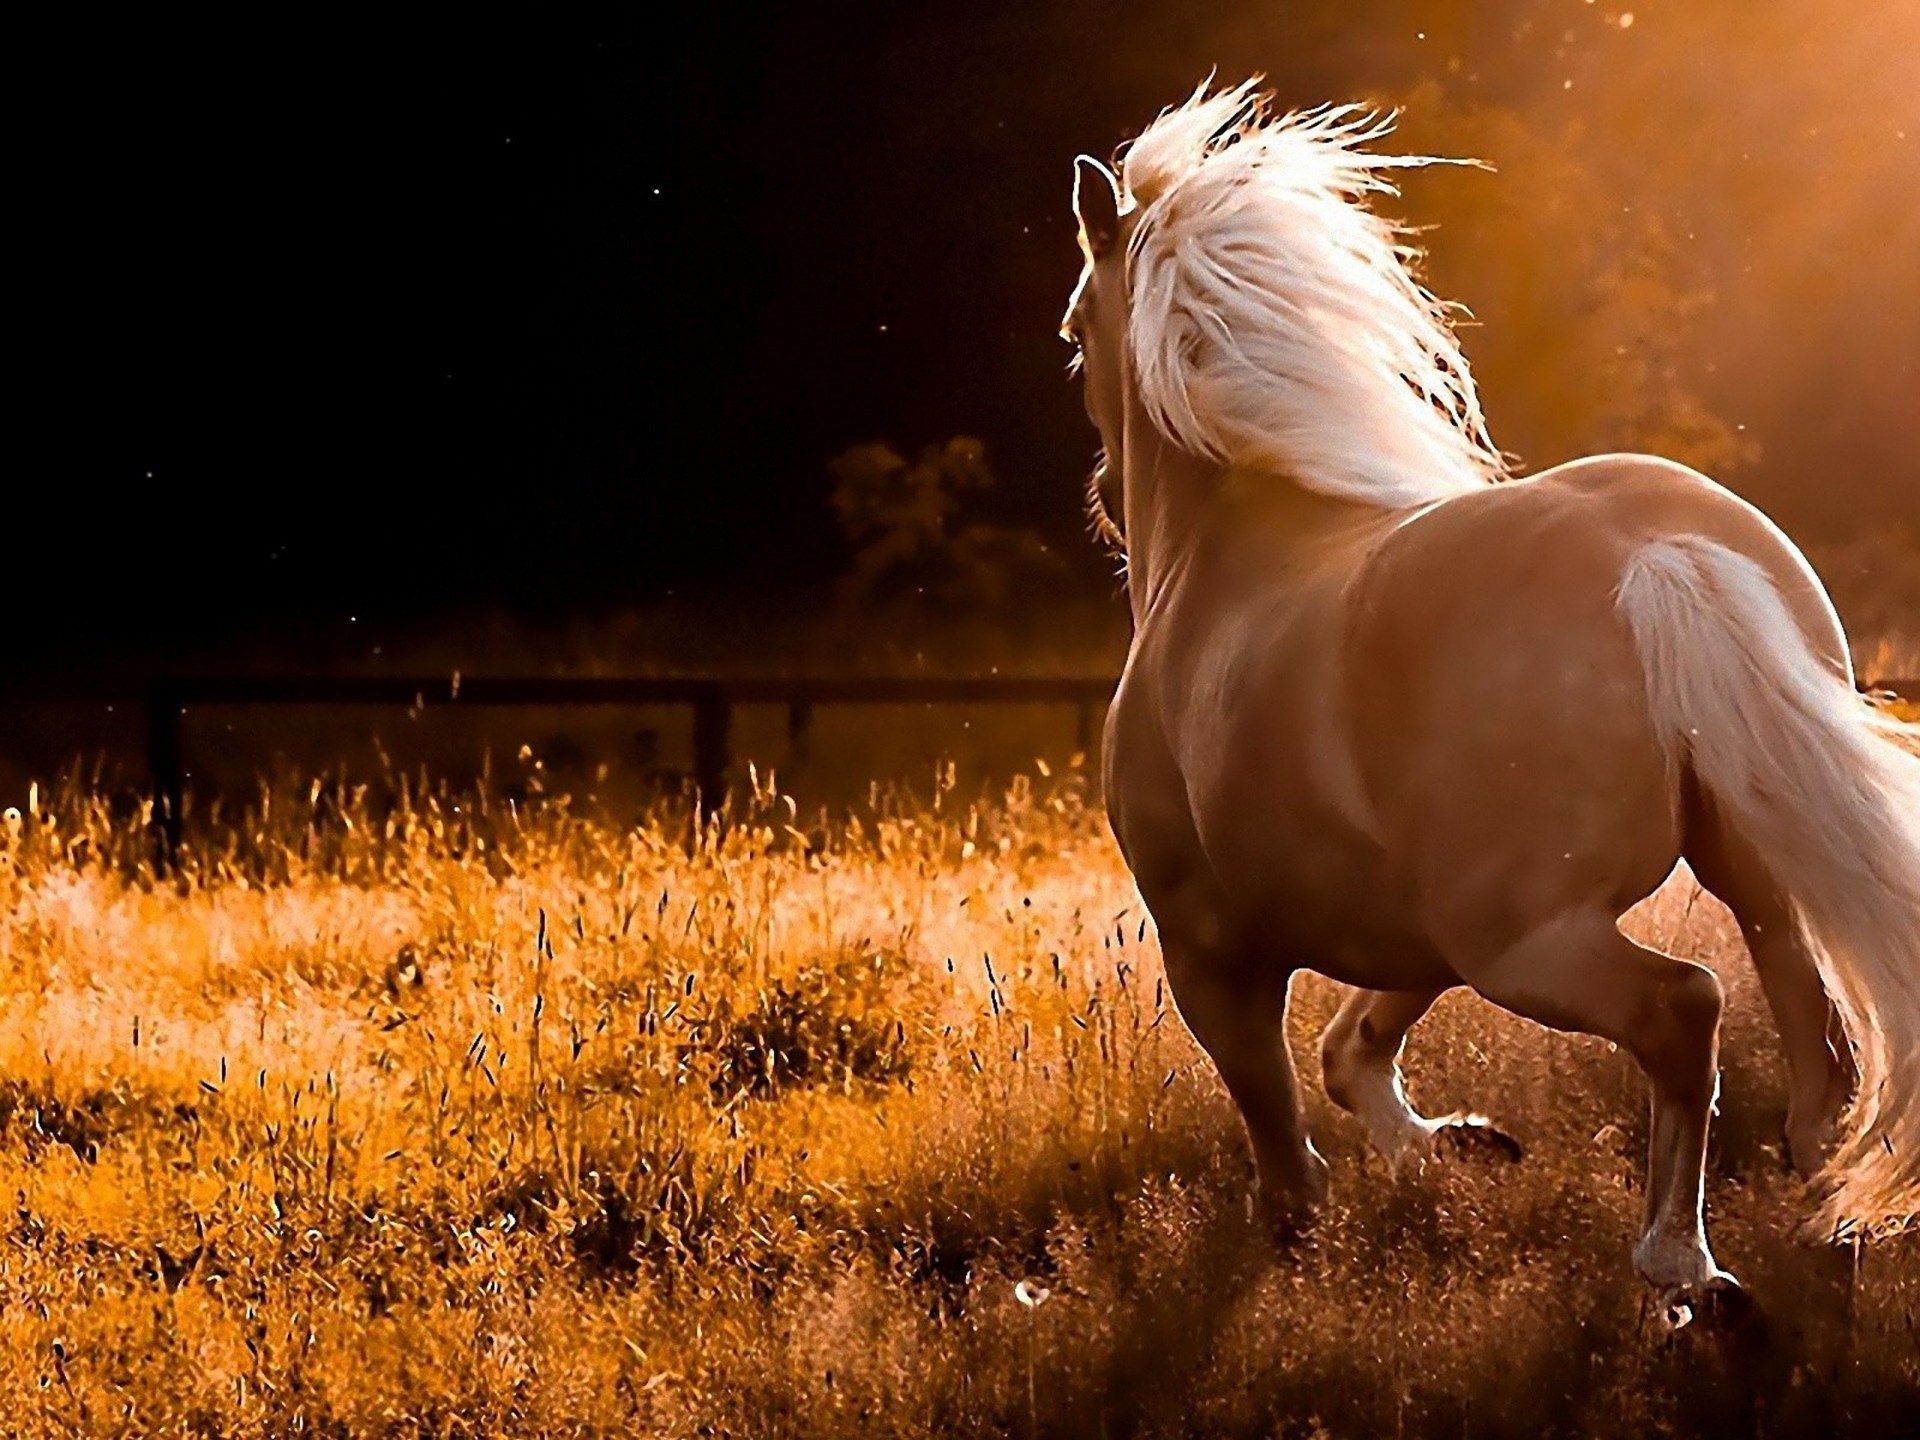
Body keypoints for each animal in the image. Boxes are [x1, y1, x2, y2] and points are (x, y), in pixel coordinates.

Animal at [1061, 80, 1920, 1304]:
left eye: (1074, 331)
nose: (1099, 497)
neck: (1222, 557)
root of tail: (1654, 557)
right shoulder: (1407, 928)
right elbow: (1350, 1054)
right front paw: (1460, 1148)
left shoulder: (1211, 949)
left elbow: (1281, 1136)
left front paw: (1300, 1247)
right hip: (1734, 868)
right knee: (1816, 1040)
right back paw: (1825, 1221)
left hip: (1526, 942)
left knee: (1685, 1009)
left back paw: (1685, 1269)